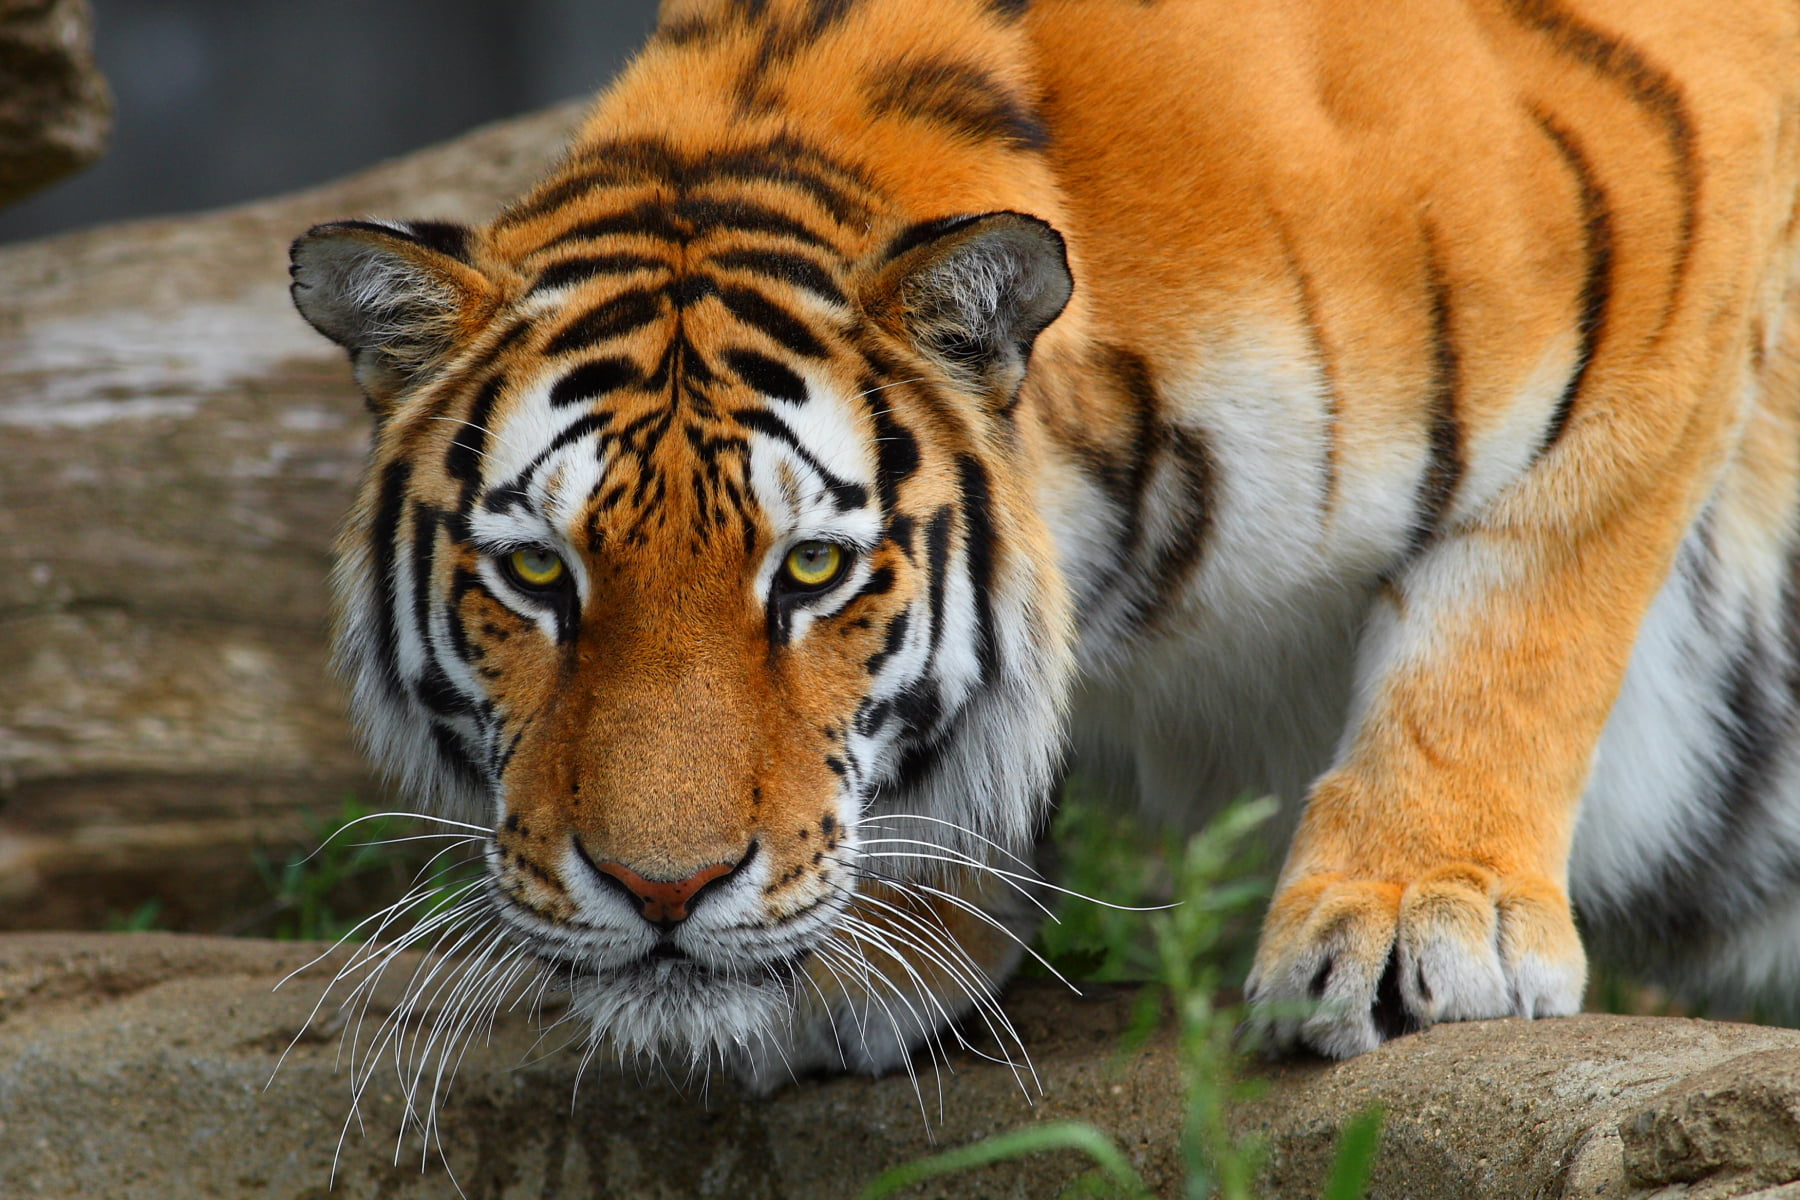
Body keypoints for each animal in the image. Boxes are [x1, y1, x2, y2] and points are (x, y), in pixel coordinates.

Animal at [288, 0, 1800, 1082]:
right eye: (537, 573)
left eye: (812, 570)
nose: (666, 893)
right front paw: (889, 957)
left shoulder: (1659, 248)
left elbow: (1515, 619)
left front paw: (1421, 919)